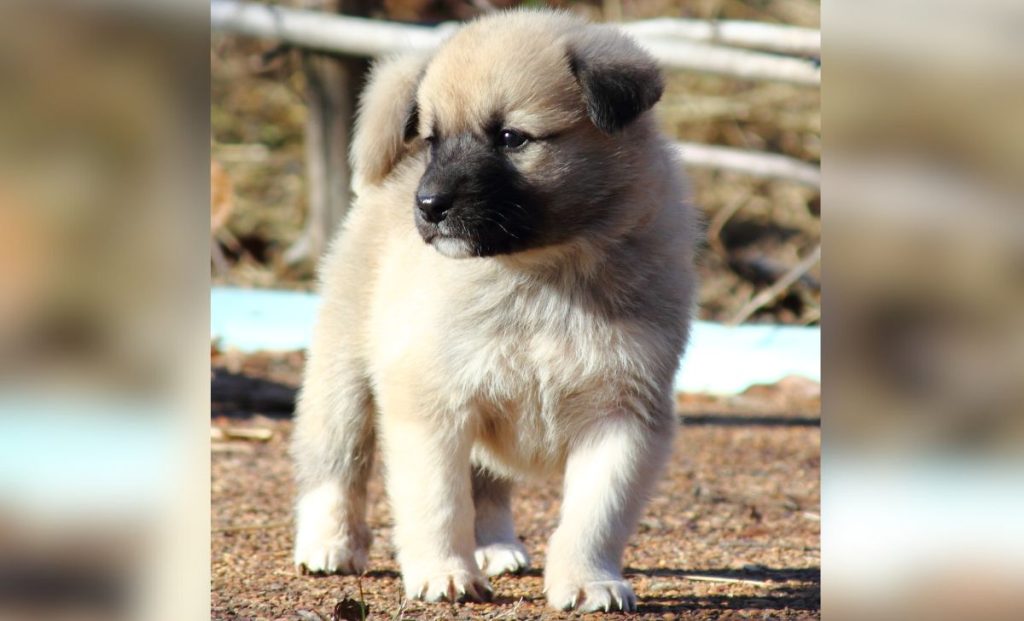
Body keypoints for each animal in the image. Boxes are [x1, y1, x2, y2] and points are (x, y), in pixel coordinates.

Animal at [292, 8, 700, 614]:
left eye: (511, 138)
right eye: (434, 140)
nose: (428, 205)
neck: (542, 275)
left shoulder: (624, 415)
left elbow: (595, 516)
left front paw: (589, 580)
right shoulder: (432, 403)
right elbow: (439, 502)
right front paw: (444, 573)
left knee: (485, 483)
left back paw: (495, 547)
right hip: (343, 381)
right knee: (335, 467)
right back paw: (328, 544)